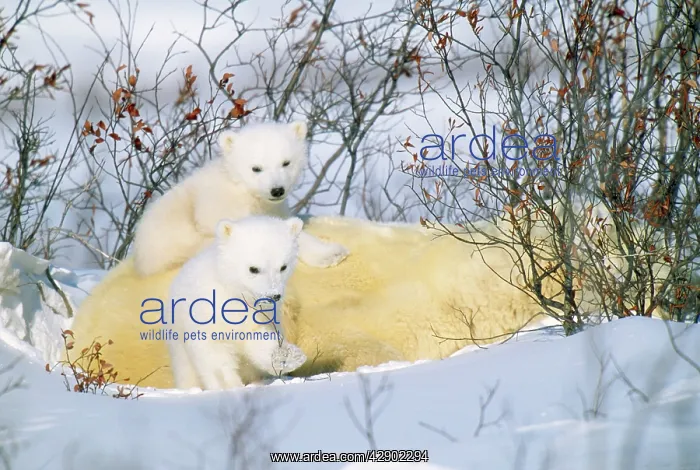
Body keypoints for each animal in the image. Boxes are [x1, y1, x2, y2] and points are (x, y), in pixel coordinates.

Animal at [131, 121, 349, 277]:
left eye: (286, 163)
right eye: (256, 168)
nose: (277, 190)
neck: (243, 189)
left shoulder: (272, 207)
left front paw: (332, 253)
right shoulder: (223, 207)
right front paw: (329, 254)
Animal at [166, 216, 307, 390]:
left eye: (283, 267)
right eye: (253, 269)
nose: (273, 296)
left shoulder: (261, 316)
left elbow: (260, 340)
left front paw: (288, 357)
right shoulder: (207, 314)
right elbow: (215, 353)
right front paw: (229, 385)